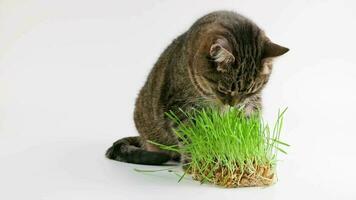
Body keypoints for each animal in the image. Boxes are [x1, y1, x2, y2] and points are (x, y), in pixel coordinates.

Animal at [104, 10, 288, 165]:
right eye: (223, 90)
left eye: (251, 91)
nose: (232, 105)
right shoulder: (181, 108)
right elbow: (191, 136)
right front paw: (197, 162)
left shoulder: (252, 103)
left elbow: (247, 126)